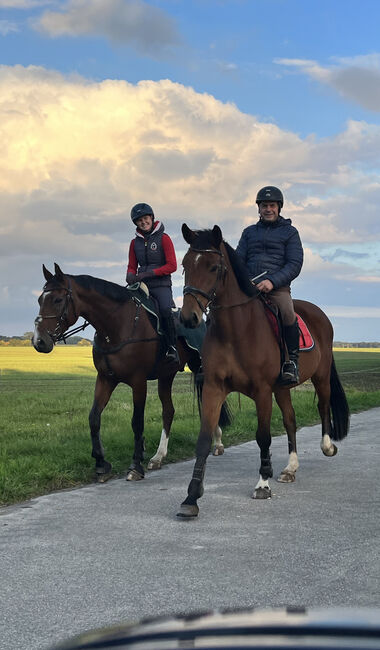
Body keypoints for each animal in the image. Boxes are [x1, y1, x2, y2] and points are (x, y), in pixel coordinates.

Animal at [32, 262, 230, 480]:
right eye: (40, 299)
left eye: (58, 299)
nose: (39, 341)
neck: (116, 326)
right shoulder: (105, 379)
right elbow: (94, 418)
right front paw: (101, 463)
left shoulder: (138, 381)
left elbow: (137, 422)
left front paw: (135, 465)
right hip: (166, 376)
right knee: (169, 411)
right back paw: (158, 457)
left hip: (200, 368)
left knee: (207, 403)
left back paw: (217, 442)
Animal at [178, 224, 350, 516]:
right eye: (185, 265)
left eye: (214, 267)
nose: (188, 317)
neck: (235, 331)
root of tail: (318, 313)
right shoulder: (214, 388)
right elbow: (204, 439)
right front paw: (191, 497)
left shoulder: (261, 391)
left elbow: (263, 437)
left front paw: (262, 484)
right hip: (282, 388)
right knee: (291, 420)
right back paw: (290, 468)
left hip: (321, 376)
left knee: (323, 405)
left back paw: (327, 447)